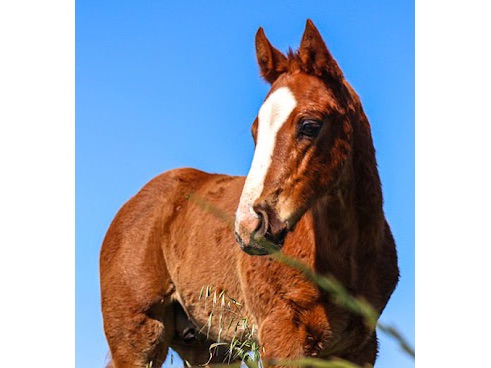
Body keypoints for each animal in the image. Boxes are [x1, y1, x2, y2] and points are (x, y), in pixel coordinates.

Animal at [99, 20, 400, 368]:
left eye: (310, 125)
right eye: (256, 130)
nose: (248, 226)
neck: (345, 258)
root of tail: (132, 204)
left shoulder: (360, 348)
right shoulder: (280, 339)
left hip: (208, 349)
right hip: (138, 340)